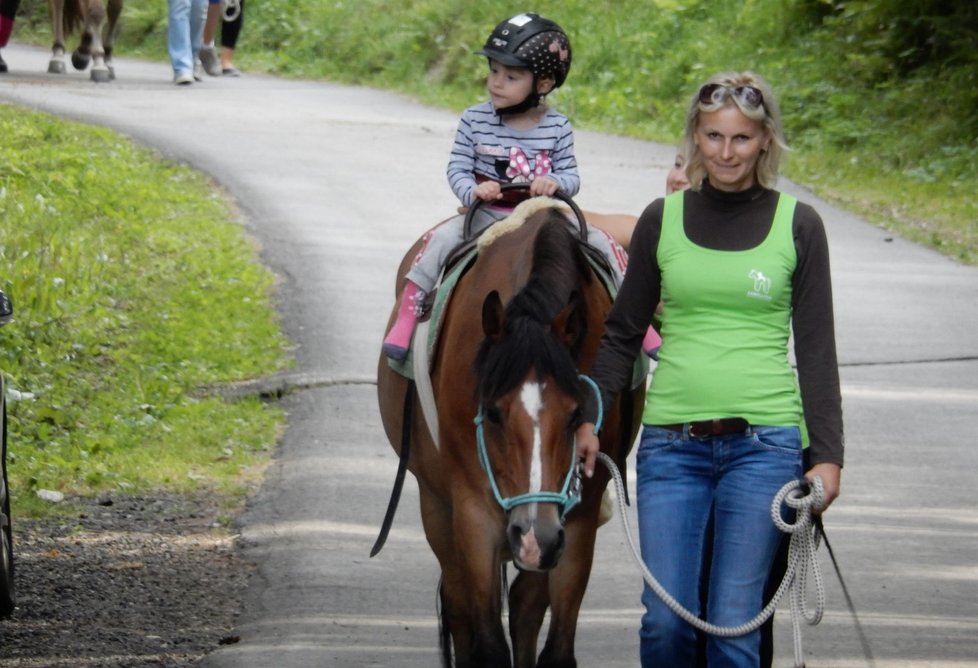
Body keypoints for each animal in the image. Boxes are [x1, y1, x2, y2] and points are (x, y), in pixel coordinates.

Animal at [374, 200, 640, 668]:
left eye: (577, 413)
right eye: (493, 414)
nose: (535, 536)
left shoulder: (577, 518)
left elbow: (556, 647)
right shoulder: (473, 510)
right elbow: (487, 644)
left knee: (524, 605)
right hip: (438, 505)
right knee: (458, 605)